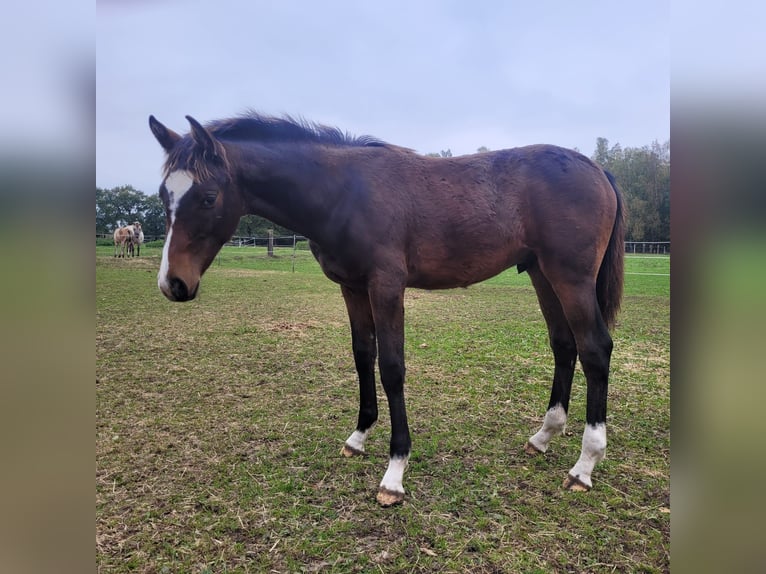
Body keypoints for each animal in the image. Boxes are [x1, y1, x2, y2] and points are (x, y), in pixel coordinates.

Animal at [148, 112, 624, 508]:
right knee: (564, 345)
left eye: (208, 197)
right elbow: (364, 356)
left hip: (570, 278)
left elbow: (392, 367)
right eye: (162, 196)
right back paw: (543, 436)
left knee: (595, 349)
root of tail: (596, 168)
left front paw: (395, 472)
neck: (344, 192)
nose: (174, 284)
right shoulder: (353, 288)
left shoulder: (386, 287)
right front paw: (358, 437)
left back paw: (584, 466)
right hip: (542, 274)